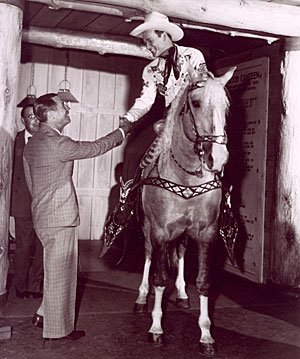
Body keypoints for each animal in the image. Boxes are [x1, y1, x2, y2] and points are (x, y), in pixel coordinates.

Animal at [134, 67, 237, 358]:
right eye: (196, 103)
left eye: (227, 106)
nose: (219, 157)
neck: (187, 178)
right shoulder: (159, 232)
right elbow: (159, 278)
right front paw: (156, 328)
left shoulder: (206, 234)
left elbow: (203, 281)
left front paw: (206, 335)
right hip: (147, 228)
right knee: (148, 257)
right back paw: (141, 298)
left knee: (179, 253)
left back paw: (180, 294)